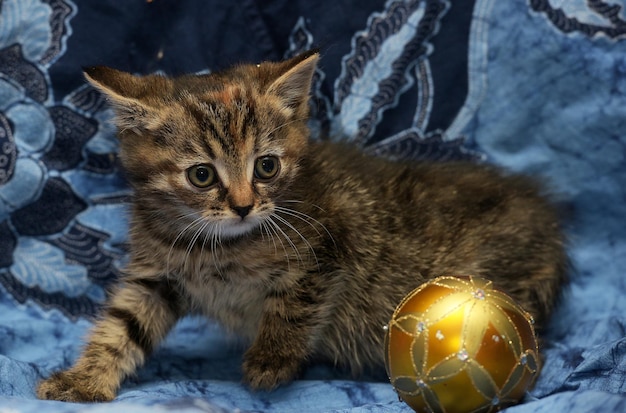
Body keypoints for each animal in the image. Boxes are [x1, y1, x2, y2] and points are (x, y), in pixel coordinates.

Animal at [36, 50, 568, 400]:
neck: (216, 247)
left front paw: (271, 358)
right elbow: (121, 326)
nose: (244, 205)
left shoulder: (333, 238)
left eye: (266, 167)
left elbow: (295, 305)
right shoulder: (155, 275)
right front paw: (84, 378)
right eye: (201, 175)